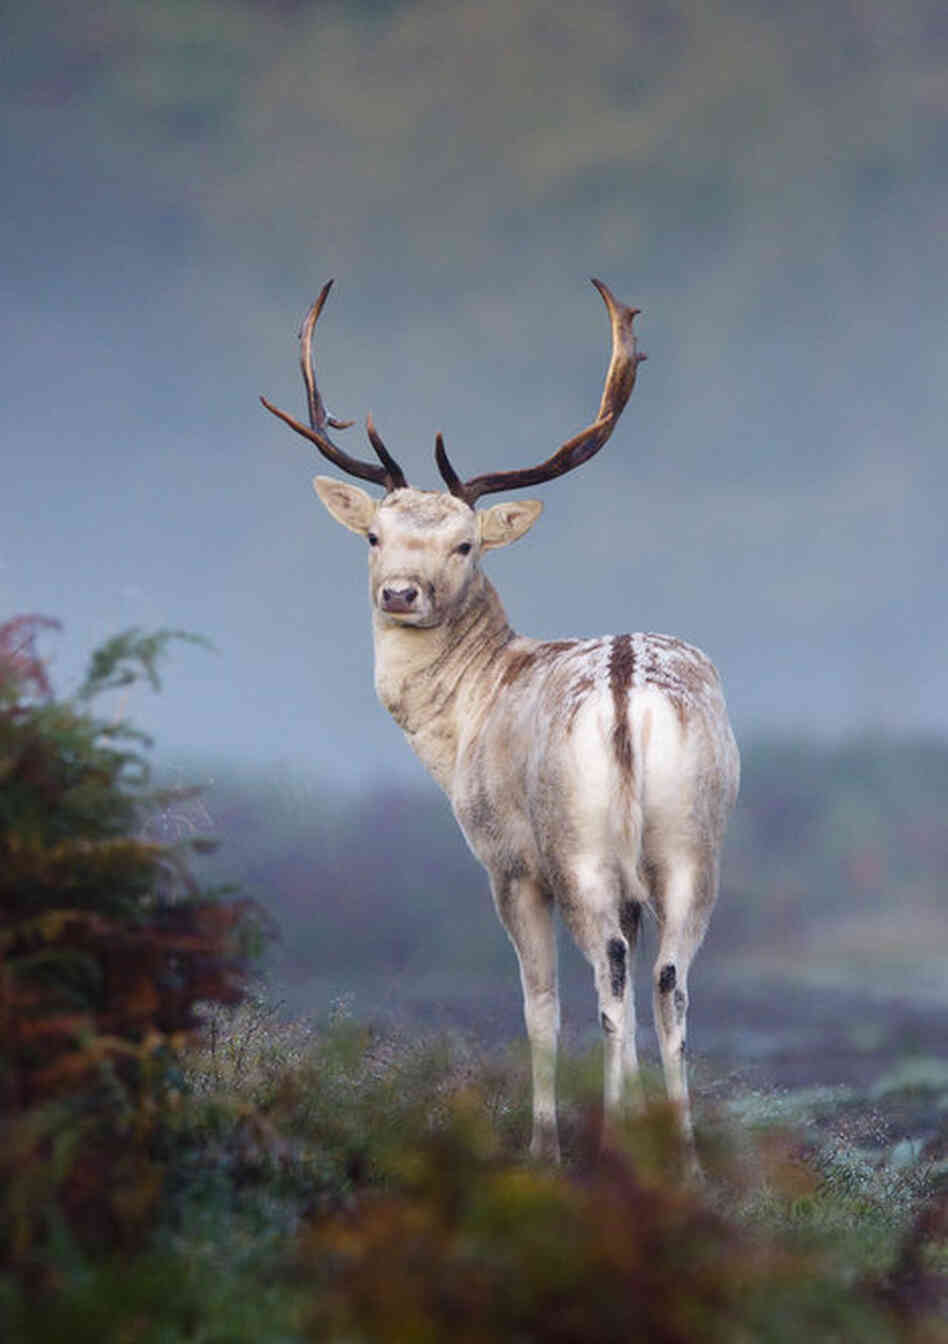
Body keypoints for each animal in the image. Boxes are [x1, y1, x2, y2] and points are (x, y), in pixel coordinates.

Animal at [261, 278, 740, 1165]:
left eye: (465, 544)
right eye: (374, 534)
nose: (401, 592)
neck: (464, 722)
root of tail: (627, 690)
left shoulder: (506, 860)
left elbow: (538, 1004)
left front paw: (544, 1146)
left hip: (577, 846)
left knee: (609, 984)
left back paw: (609, 1143)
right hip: (694, 841)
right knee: (668, 983)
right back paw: (685, 1161)